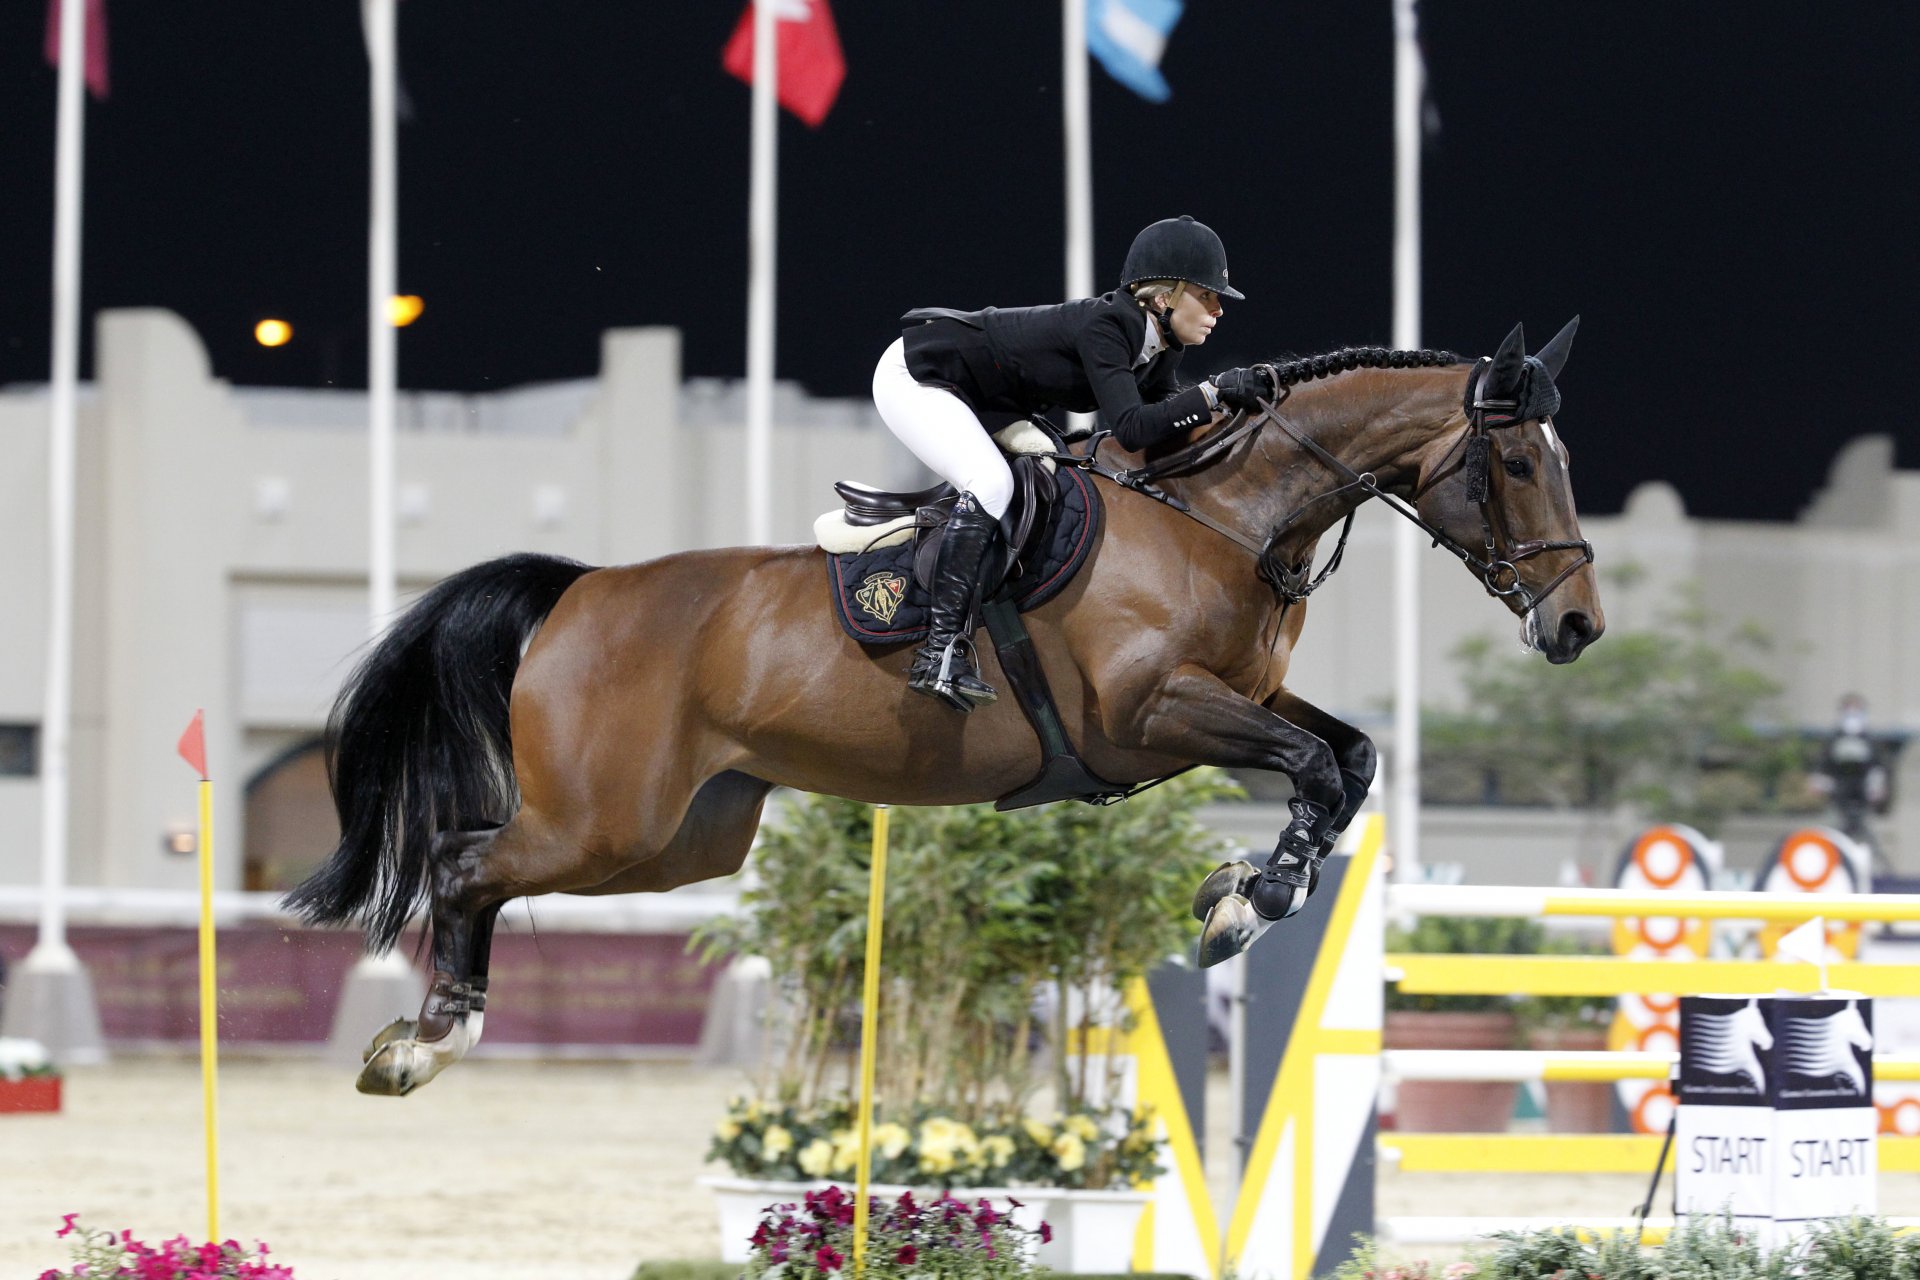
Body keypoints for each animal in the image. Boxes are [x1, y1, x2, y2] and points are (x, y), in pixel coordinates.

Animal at [287, 319, 1604, 1095]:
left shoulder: (1244, 696)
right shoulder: (1152, 712)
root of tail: (579, 590)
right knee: (462, 862)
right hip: (604, 820)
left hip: (678, 840)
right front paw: (1249, 902)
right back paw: (426, 1037)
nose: (1579, 626)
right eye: (1520, 462)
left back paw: (429, 1033)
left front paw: (1244, 888)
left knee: (488, 865)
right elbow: (1317, 767)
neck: (1224, 513)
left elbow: (1350, 756)